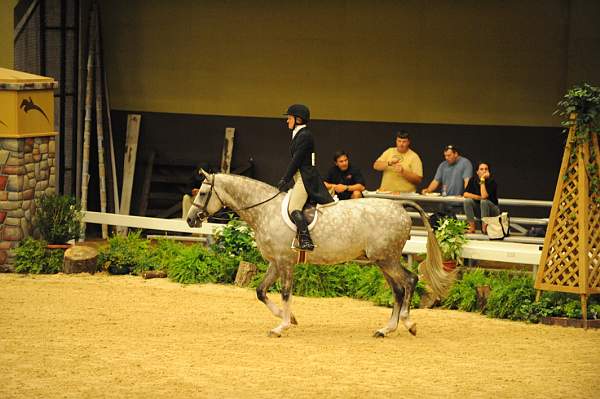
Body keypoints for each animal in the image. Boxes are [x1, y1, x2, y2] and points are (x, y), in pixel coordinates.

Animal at [185, 173, 452, 340]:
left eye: (203, 194)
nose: (189, 220)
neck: (265, 210)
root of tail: (399, 206)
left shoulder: (285, 262)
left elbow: (285, 293)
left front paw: (281, 326)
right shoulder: (275, 262)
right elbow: (261, 291)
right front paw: (289, 318)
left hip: (387, 259)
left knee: (409, 281)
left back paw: (409, 324)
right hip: (382, 260)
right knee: (398, 289)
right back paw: (386, 329)